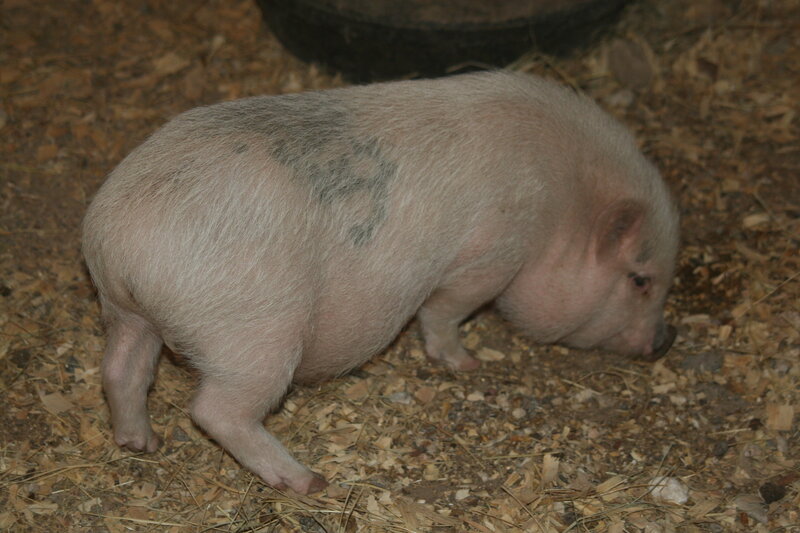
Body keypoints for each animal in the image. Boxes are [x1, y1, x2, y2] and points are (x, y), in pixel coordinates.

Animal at [81, 70, 679, 494]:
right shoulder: (491, 254)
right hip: (255, 329)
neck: (562, 206)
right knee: (216, 410)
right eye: (640, 280)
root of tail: (118, 236)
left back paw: (142, 443)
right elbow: (444, 311)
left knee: (121, 369)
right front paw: (466, 364)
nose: (664, 340)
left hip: (128, 312)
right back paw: (309, 481)